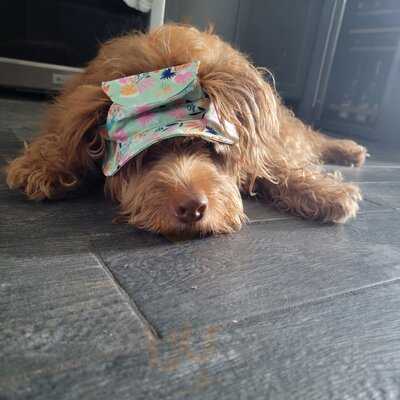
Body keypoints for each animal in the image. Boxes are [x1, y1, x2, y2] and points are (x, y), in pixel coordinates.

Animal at [6, 24, 368, 238]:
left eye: (210, 148)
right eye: (148, 155)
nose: (192, 208)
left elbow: (276, 167)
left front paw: (325, 192)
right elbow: (62, 137)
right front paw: (46, 165)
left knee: (310, 140)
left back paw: (350, 149)